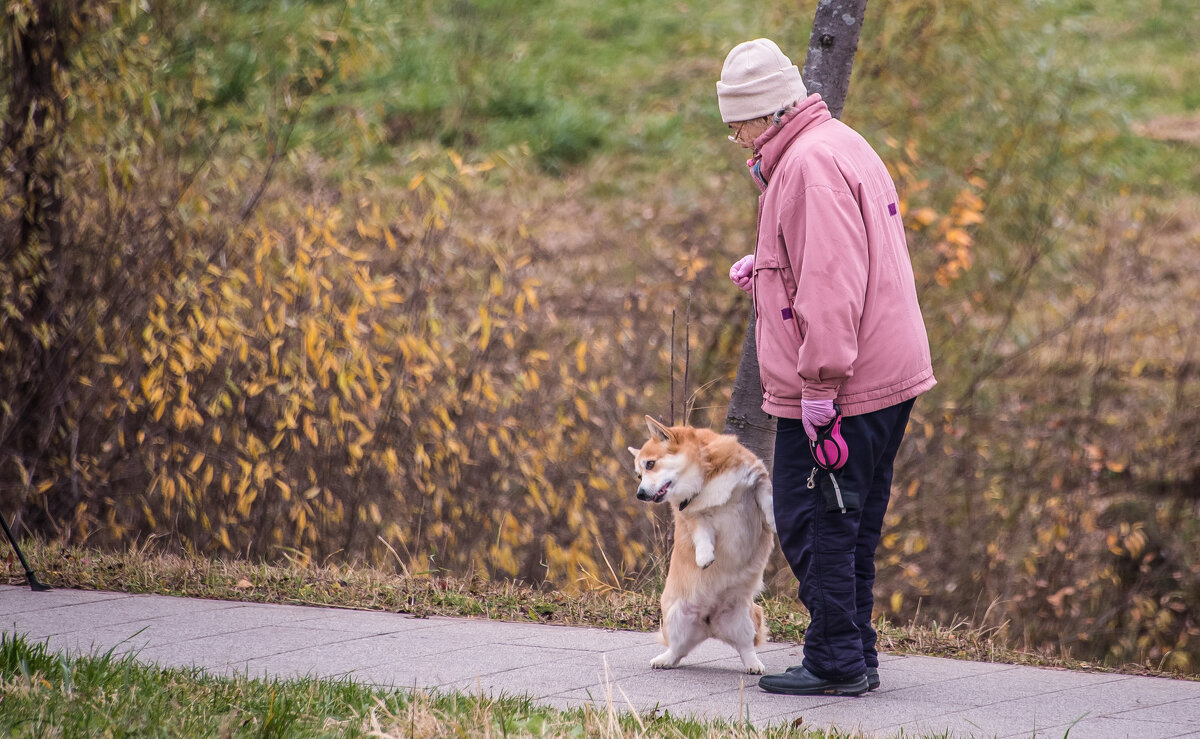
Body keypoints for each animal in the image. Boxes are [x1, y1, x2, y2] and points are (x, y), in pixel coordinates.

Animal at [628, 415, 777, 676]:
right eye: (638, 475)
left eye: (650, 464)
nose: (640, 494)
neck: (703, 481)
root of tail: (710, 624)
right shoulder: (693, 517)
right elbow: (702, 535)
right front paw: (704, 557)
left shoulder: (758, 481)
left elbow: (767, 502)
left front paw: (775, 521)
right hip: (676, 616)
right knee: (679, 650)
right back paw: (664, 660)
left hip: (746, 619)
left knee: (745, 647)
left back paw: (754, 665)